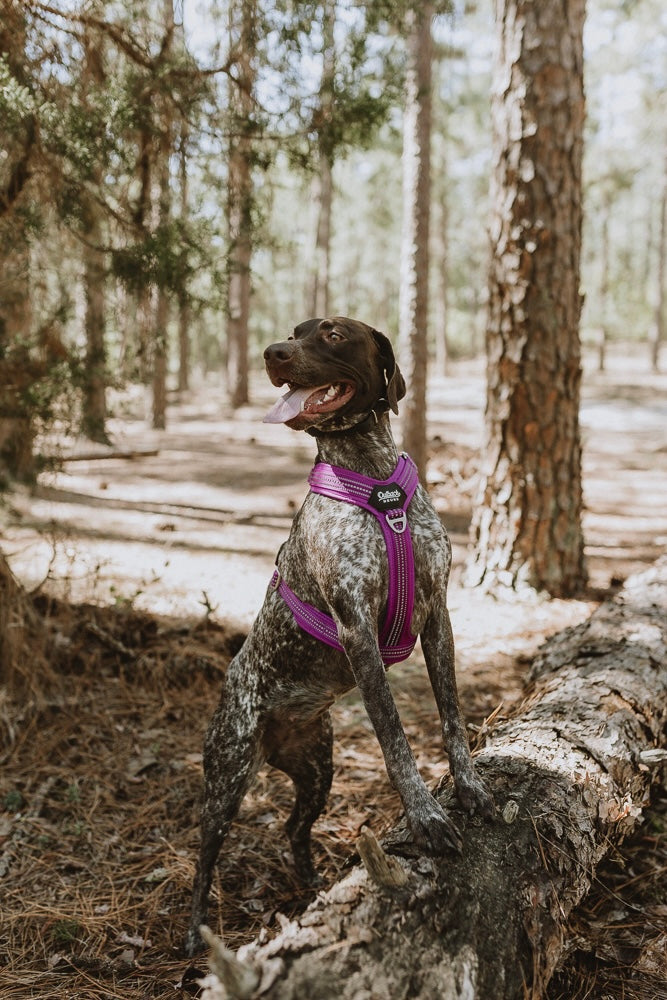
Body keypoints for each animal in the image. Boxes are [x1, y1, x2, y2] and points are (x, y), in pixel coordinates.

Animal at [185, 316, 494, 956]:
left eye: (330, 333)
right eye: (292, 332)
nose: (272, 352)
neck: (377, 486)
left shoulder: (439, 617)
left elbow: (452, 718)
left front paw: (470, 788)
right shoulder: (358, 632)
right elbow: (396, 739)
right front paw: (426, 818)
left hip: (317, 773)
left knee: (293, 830)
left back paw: (310, 885)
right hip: (226, 778)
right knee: (204, 858)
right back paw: (196, 932)